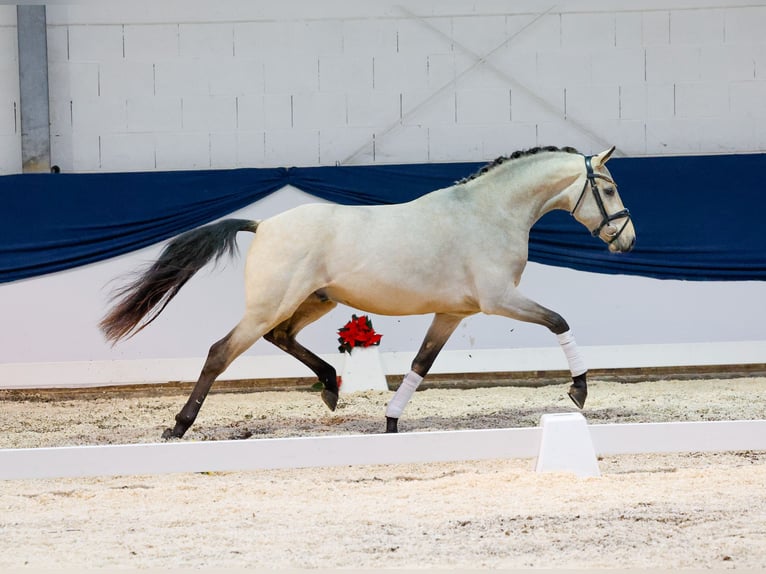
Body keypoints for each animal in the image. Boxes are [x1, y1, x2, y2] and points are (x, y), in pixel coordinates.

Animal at [100, 146, 636, 438]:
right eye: (610, 189)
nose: (627, 240)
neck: (488, 213)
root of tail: (264, 224)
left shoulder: (452, 313)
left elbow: (421, 364)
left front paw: (391, 421)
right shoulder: (498, 300)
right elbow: (559, 320)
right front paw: (579, 389)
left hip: (317, 300)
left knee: (282, 337)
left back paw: (331, 386)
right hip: (272, 304)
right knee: (220, 352)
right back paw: (179, 425)